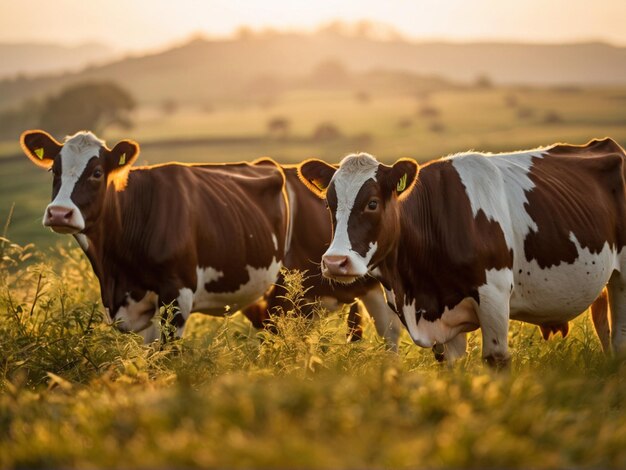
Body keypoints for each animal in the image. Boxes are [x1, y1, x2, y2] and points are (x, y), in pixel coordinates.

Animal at [298, 138, 620, 366]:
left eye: (372, 203)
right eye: (328, 204)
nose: (335, 262)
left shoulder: (494, 295)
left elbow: (496, 360)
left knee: (620, 335)